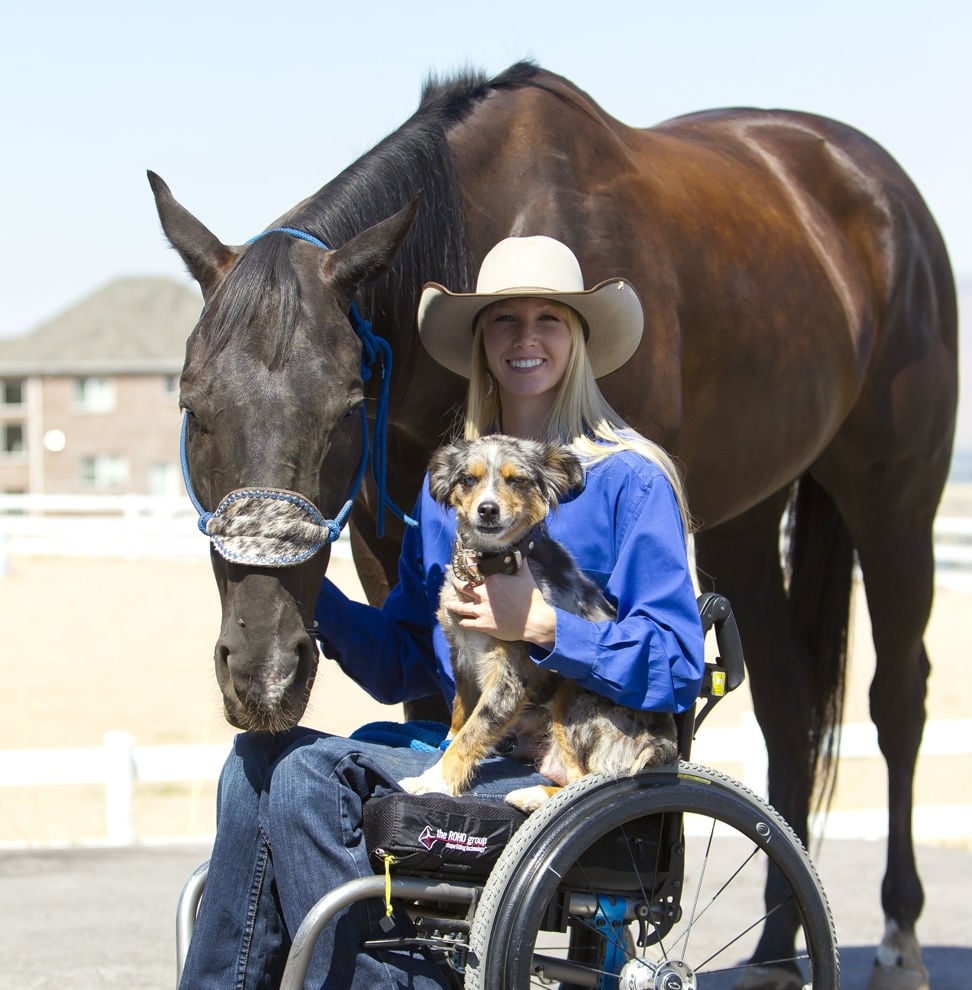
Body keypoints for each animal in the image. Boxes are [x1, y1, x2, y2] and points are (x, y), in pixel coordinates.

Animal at [394, 436, 676, 812]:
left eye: (517, 480)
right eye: (468, 479)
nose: (487, 509)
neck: (488, 566)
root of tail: (667, 745)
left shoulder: (510, 679)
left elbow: (473, 732)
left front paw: (435, 780)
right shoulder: (462, 654)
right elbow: (461, 712)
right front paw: (446, 742)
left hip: (575, 697)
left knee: (584, 780)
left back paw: (532, 795)